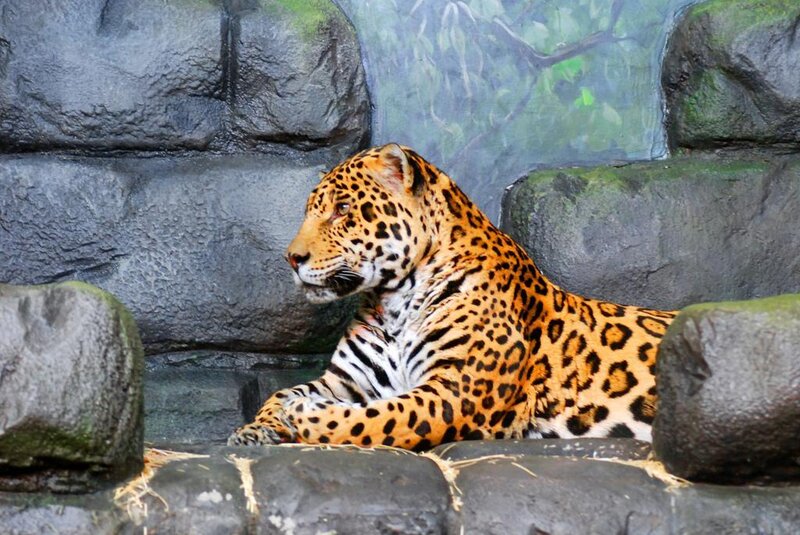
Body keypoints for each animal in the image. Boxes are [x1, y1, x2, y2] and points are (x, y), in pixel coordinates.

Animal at [229, 143, 676, 451]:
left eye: (343, 209)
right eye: (310, 210)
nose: (291, 258)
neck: (394, 302)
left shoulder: (454, 393)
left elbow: (375, 419)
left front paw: (302, 417)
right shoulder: (347, 382)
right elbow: (281, 393)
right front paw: (255, 428)